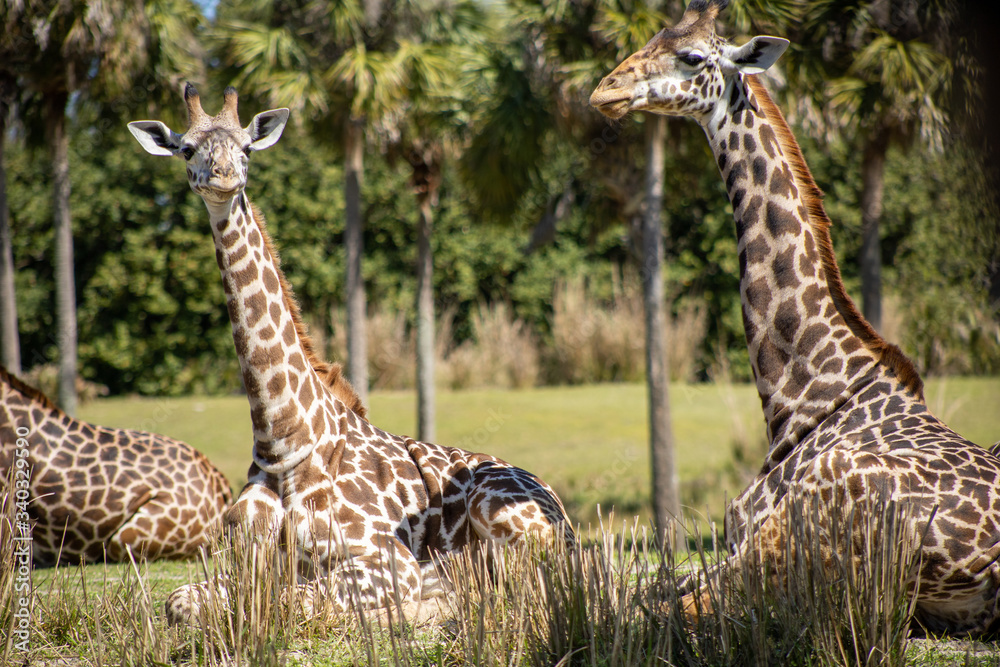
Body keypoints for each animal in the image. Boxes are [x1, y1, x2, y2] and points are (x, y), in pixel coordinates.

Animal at [127, 85, 572, 624]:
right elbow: (181, 601)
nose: (224, 178)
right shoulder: (241, 567)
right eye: (187, 148)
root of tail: (562, 512)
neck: (283, 442)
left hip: (505, 517)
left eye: (246, 147)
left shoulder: (386, 558)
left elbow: (296, 604)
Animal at [591, 0, 1000, 636]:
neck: (806, 394)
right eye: (652, 37)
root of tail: (989, 575)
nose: (604, 91)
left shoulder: (753, 539)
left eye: (691, 56)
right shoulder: (731, 542)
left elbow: (642, 604)